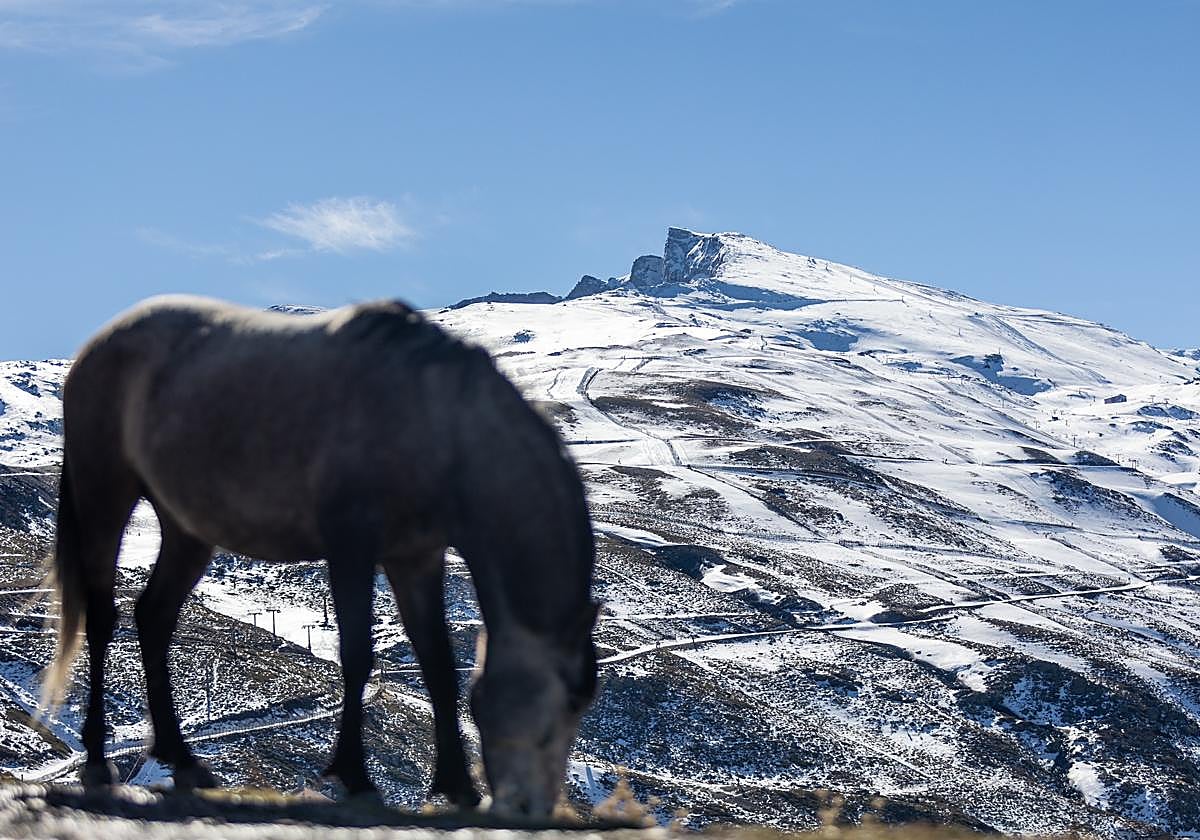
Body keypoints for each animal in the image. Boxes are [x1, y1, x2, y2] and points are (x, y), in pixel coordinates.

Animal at [42, 295, 599, 817]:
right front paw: (355, 776)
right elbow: (357, 653)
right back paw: (98, 762)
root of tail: (93, 350)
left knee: (153, 616)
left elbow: (437, 662)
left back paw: (183, 762)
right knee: (101, 616)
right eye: (567, 701)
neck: (436, 419)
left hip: (186, 530)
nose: (532, 807)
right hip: (105, 496)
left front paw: (457, 786)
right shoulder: (351, 547)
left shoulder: (416, 557)